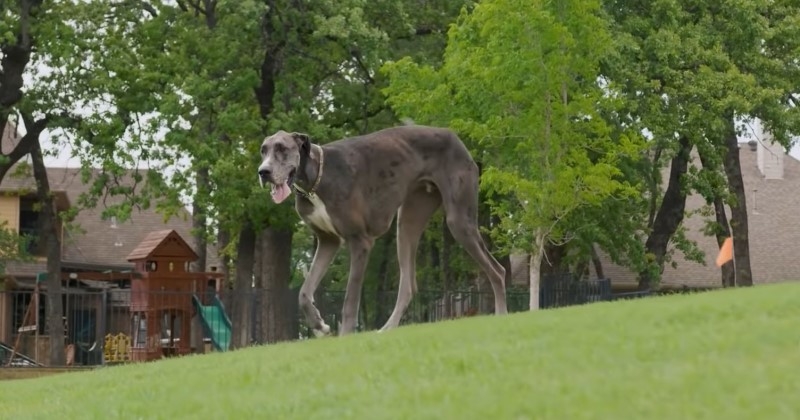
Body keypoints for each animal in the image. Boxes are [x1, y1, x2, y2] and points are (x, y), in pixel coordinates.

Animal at [258, 123, 506, 336]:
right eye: (263, 151)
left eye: (282, 148)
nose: (263, 172)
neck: (316, 180)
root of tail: (454, 136)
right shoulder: (328, 241)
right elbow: (303, 292)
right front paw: (320, 324)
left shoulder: (360, 241)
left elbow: (350, 299)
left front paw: (345, 336)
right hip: (407, 222)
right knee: (408, 286)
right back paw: (387, 328)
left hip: (459, 221)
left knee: (497, 270)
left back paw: (502, 315)